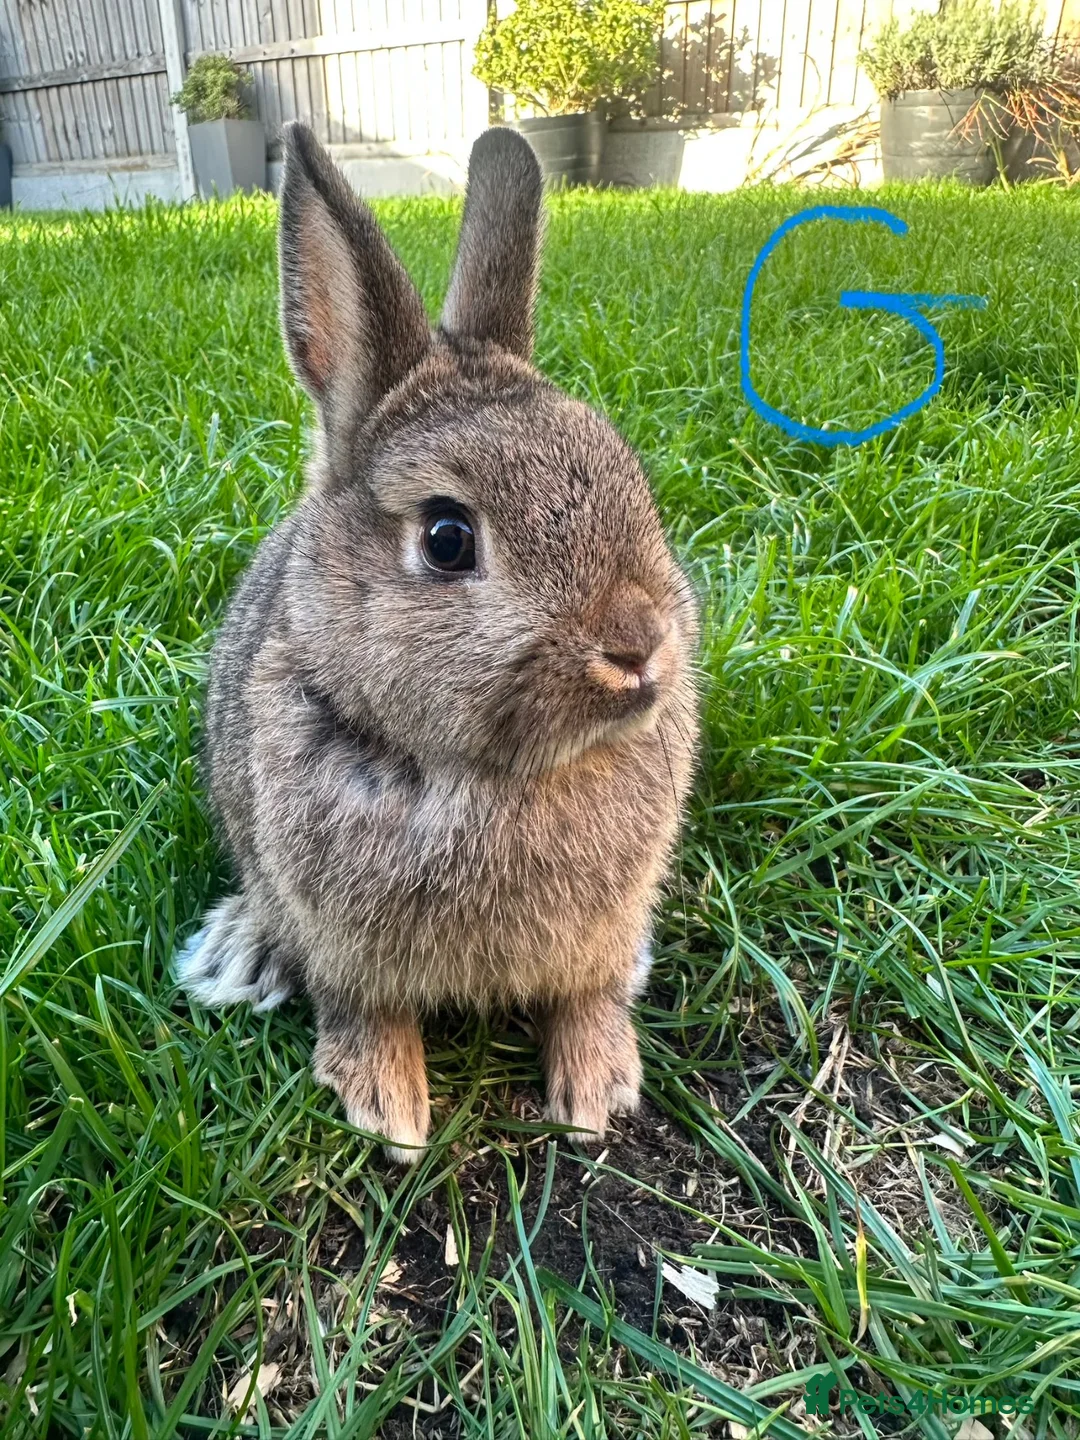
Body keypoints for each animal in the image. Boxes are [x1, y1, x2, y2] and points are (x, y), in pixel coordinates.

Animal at [176, 121, 699, 1162]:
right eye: (448, 538)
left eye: (630, 478)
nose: (637, 649)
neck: (493, 776)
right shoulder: (340, 942)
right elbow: (364, 1011)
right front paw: (393, 1112)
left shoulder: (602, 933)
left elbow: (587, 996)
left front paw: (595, 1092)